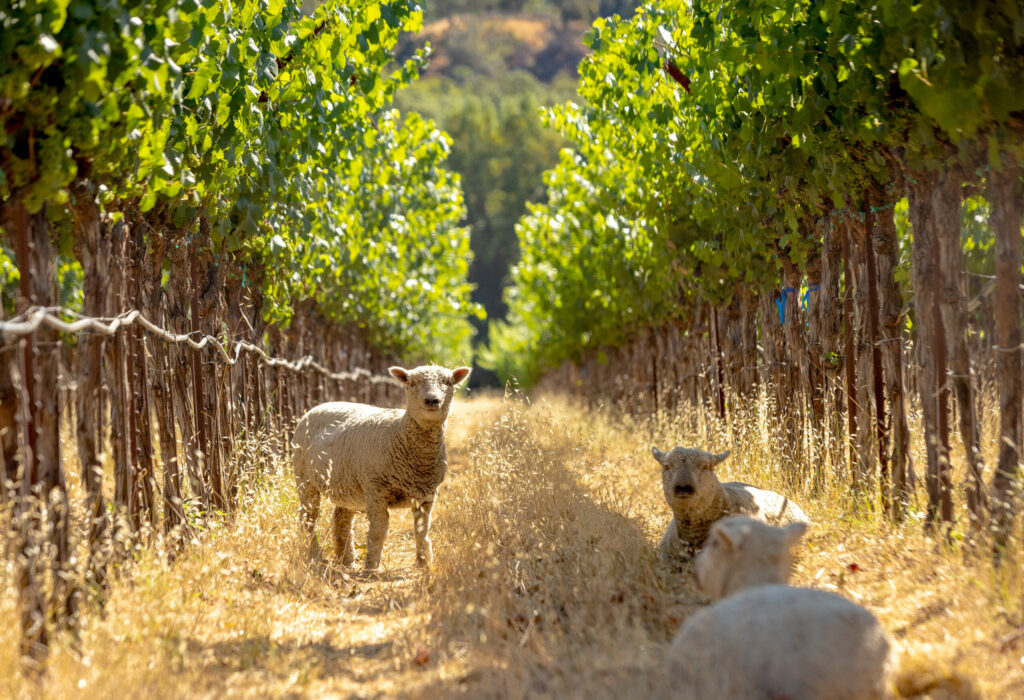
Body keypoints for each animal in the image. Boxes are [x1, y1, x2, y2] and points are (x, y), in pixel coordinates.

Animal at [293, 364, 471, 571]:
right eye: (412, 383)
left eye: (448, 382)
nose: (432, 400)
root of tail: (321, 405)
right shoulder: (376, 490)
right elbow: (378, 530)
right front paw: (372, 568)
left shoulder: (427, 495)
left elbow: (421, 531)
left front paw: (424, 564)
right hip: (305, 479)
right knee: (308, 518)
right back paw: (314, 555)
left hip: (347, 485)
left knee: (341, 518)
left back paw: (347, 560)